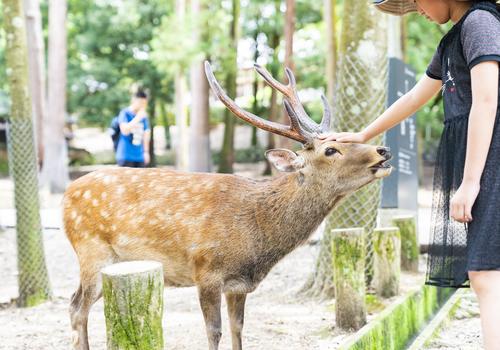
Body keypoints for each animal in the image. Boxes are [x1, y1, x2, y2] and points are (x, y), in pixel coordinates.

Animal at [63, 61, 390, 348]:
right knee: (76, 306)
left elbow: (238, 328)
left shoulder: (239, 284)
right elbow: (214, 331)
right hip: (91, 251)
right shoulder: (206, 271)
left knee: (76, 304)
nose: (383, 150)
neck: (257, 239)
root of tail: (67, 194)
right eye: (330, 150)